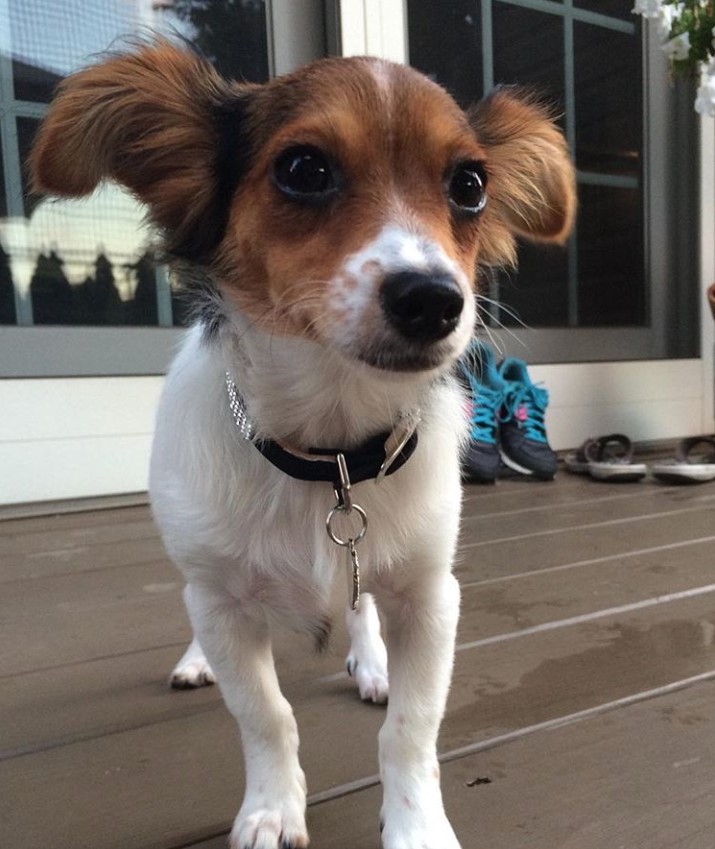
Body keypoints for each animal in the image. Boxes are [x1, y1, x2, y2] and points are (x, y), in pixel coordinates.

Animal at [30, 39, 576, 848]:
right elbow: (265, 713)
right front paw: (271, 807)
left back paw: (370, 661)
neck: (332, 450)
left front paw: (416, 823)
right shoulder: (222, 603)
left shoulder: (429, 597)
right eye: (303, 169)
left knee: (361, 607)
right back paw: (197, 661)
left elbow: (411, 728)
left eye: (470, 184)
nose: (434, 301)